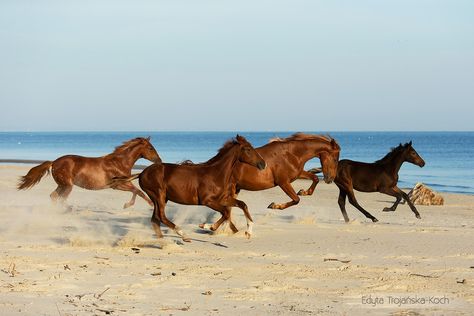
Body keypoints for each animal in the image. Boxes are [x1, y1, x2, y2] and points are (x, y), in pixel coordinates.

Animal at [18, 137, 161, 209]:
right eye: (150, 148)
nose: (159, 161)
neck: (119, 162)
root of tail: (54, 162)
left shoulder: (121, 184)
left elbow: (136, 190)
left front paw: (127, 205)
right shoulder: (117, 184)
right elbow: (138, 191)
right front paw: (148, 204)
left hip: (62, 185)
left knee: (54, 196)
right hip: (67, 186)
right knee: (61, 199)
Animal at [111, 135, 266, 242]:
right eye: (248, 149)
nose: (263, 164)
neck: (216, 173)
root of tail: (142, 173)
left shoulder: (223, 198)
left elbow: (241, 205)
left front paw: (249, 231)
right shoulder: (208, 201)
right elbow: (226, 213)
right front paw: (207, 227)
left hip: (161, 198)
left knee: (155, 219)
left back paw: (162, 241)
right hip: (158, 195)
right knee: (161, 216)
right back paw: (183, 235)